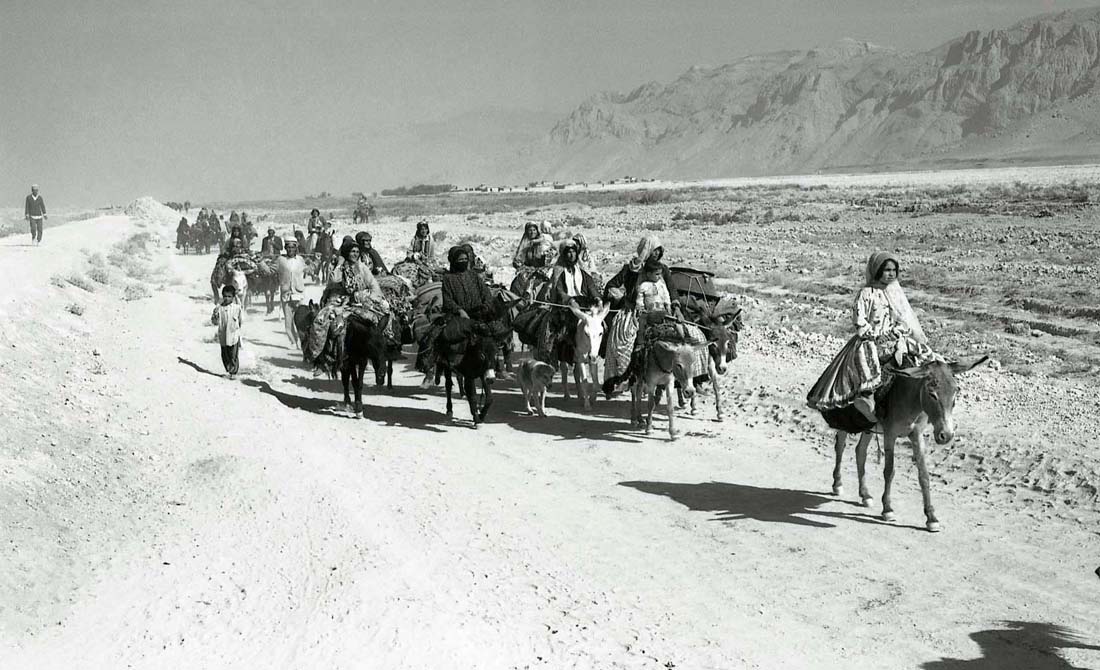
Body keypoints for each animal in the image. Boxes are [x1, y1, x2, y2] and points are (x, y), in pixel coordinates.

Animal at [826, 356, 988, 532]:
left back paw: (865, 495)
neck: (911, 401)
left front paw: (931, 517)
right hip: (846, 421)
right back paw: (837, 484)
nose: (946, 435)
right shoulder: (890, 434)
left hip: (868, 426)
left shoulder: (916, 436)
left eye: (955, 393)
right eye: (932, 394)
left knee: (860, 451)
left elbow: (923, 475)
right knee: (840, 446)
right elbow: (889, 471)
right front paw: (888, 509)